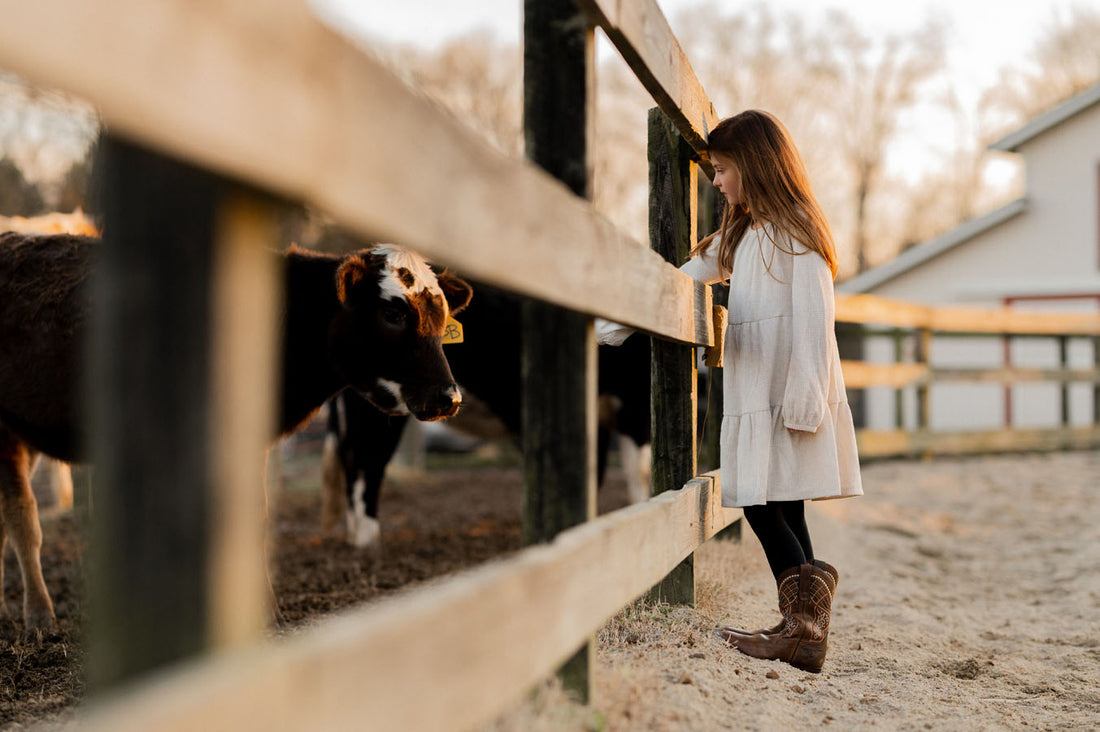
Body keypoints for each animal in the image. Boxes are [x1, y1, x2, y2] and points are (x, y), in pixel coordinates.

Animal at [0, 231, 468, 629]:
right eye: (392, 312)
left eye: (442, 315)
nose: (450, 397)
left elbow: (254, 517)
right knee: (22, 516)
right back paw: (38, 615)